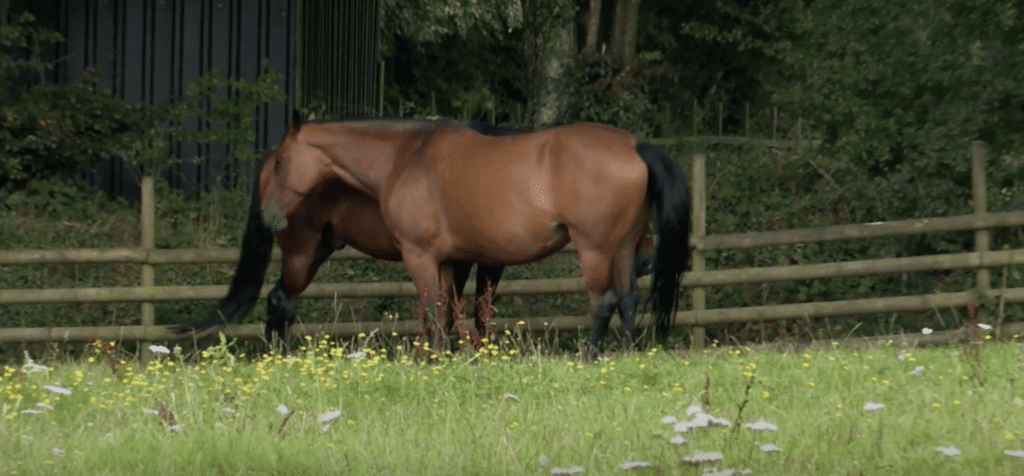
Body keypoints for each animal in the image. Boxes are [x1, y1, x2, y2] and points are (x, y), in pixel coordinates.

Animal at [175, 115, 659, 350]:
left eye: (282, 161)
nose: (270, 215)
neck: (406, 157)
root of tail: (634, 147)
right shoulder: (448, 259)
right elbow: (447, 313)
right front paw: (447, 356)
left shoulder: (429, 257)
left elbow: (442, 312)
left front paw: (441, 358)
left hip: (598, 250)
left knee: (609, 302)